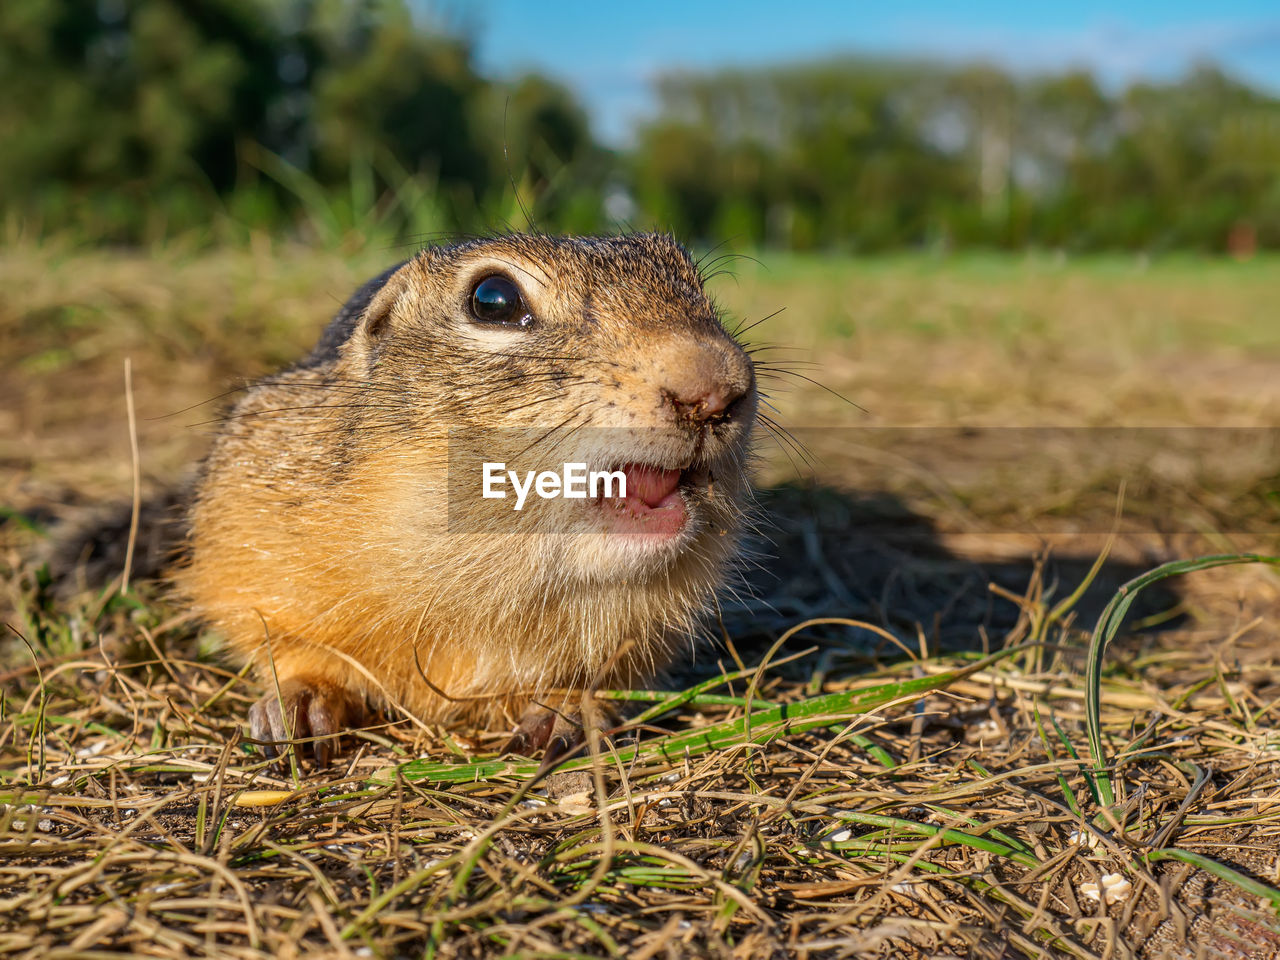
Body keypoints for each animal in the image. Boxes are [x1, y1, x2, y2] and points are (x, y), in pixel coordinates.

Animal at [180, 232, 757, 768]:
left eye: (693, 281)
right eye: (492, 299)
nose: (717, 390)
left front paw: (567, 711)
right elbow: (288, 644)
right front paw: (300, 703)